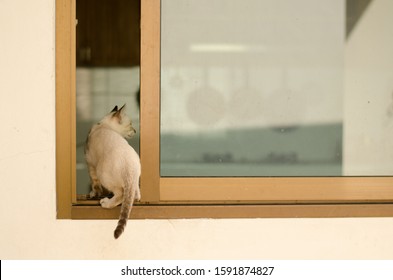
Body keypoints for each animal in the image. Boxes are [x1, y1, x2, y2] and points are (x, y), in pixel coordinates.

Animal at [84, 105, 141, 238]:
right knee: (134, 195)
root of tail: (129, 165)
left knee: (121, 194)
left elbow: (95, 185)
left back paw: (105, 202)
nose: (135, 130)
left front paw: (94, 194)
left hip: (101, 172)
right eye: (130, 124)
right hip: (134, 181)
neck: (104, 125)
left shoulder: (90, 164)